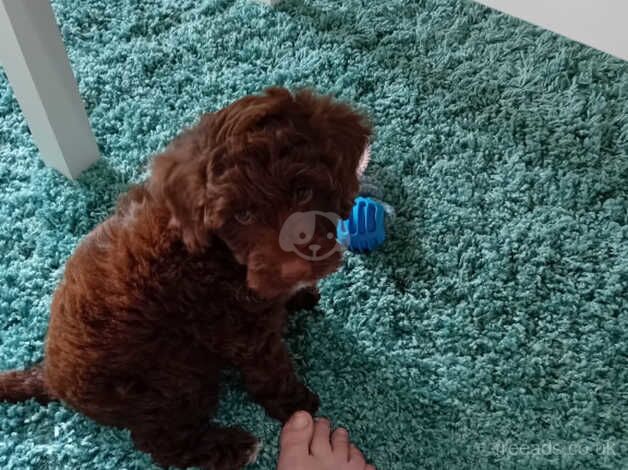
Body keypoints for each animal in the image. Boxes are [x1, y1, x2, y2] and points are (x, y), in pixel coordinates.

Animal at [0, 88, 370, 470]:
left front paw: (298, 295)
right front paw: (295, 404)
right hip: (174, 382)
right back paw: (233, 447)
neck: (217, 254)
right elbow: (271, 368)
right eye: (242, 216)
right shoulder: (240, 330)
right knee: (161, 441)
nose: (294, 271)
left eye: (303, 193)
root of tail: (50, 376)